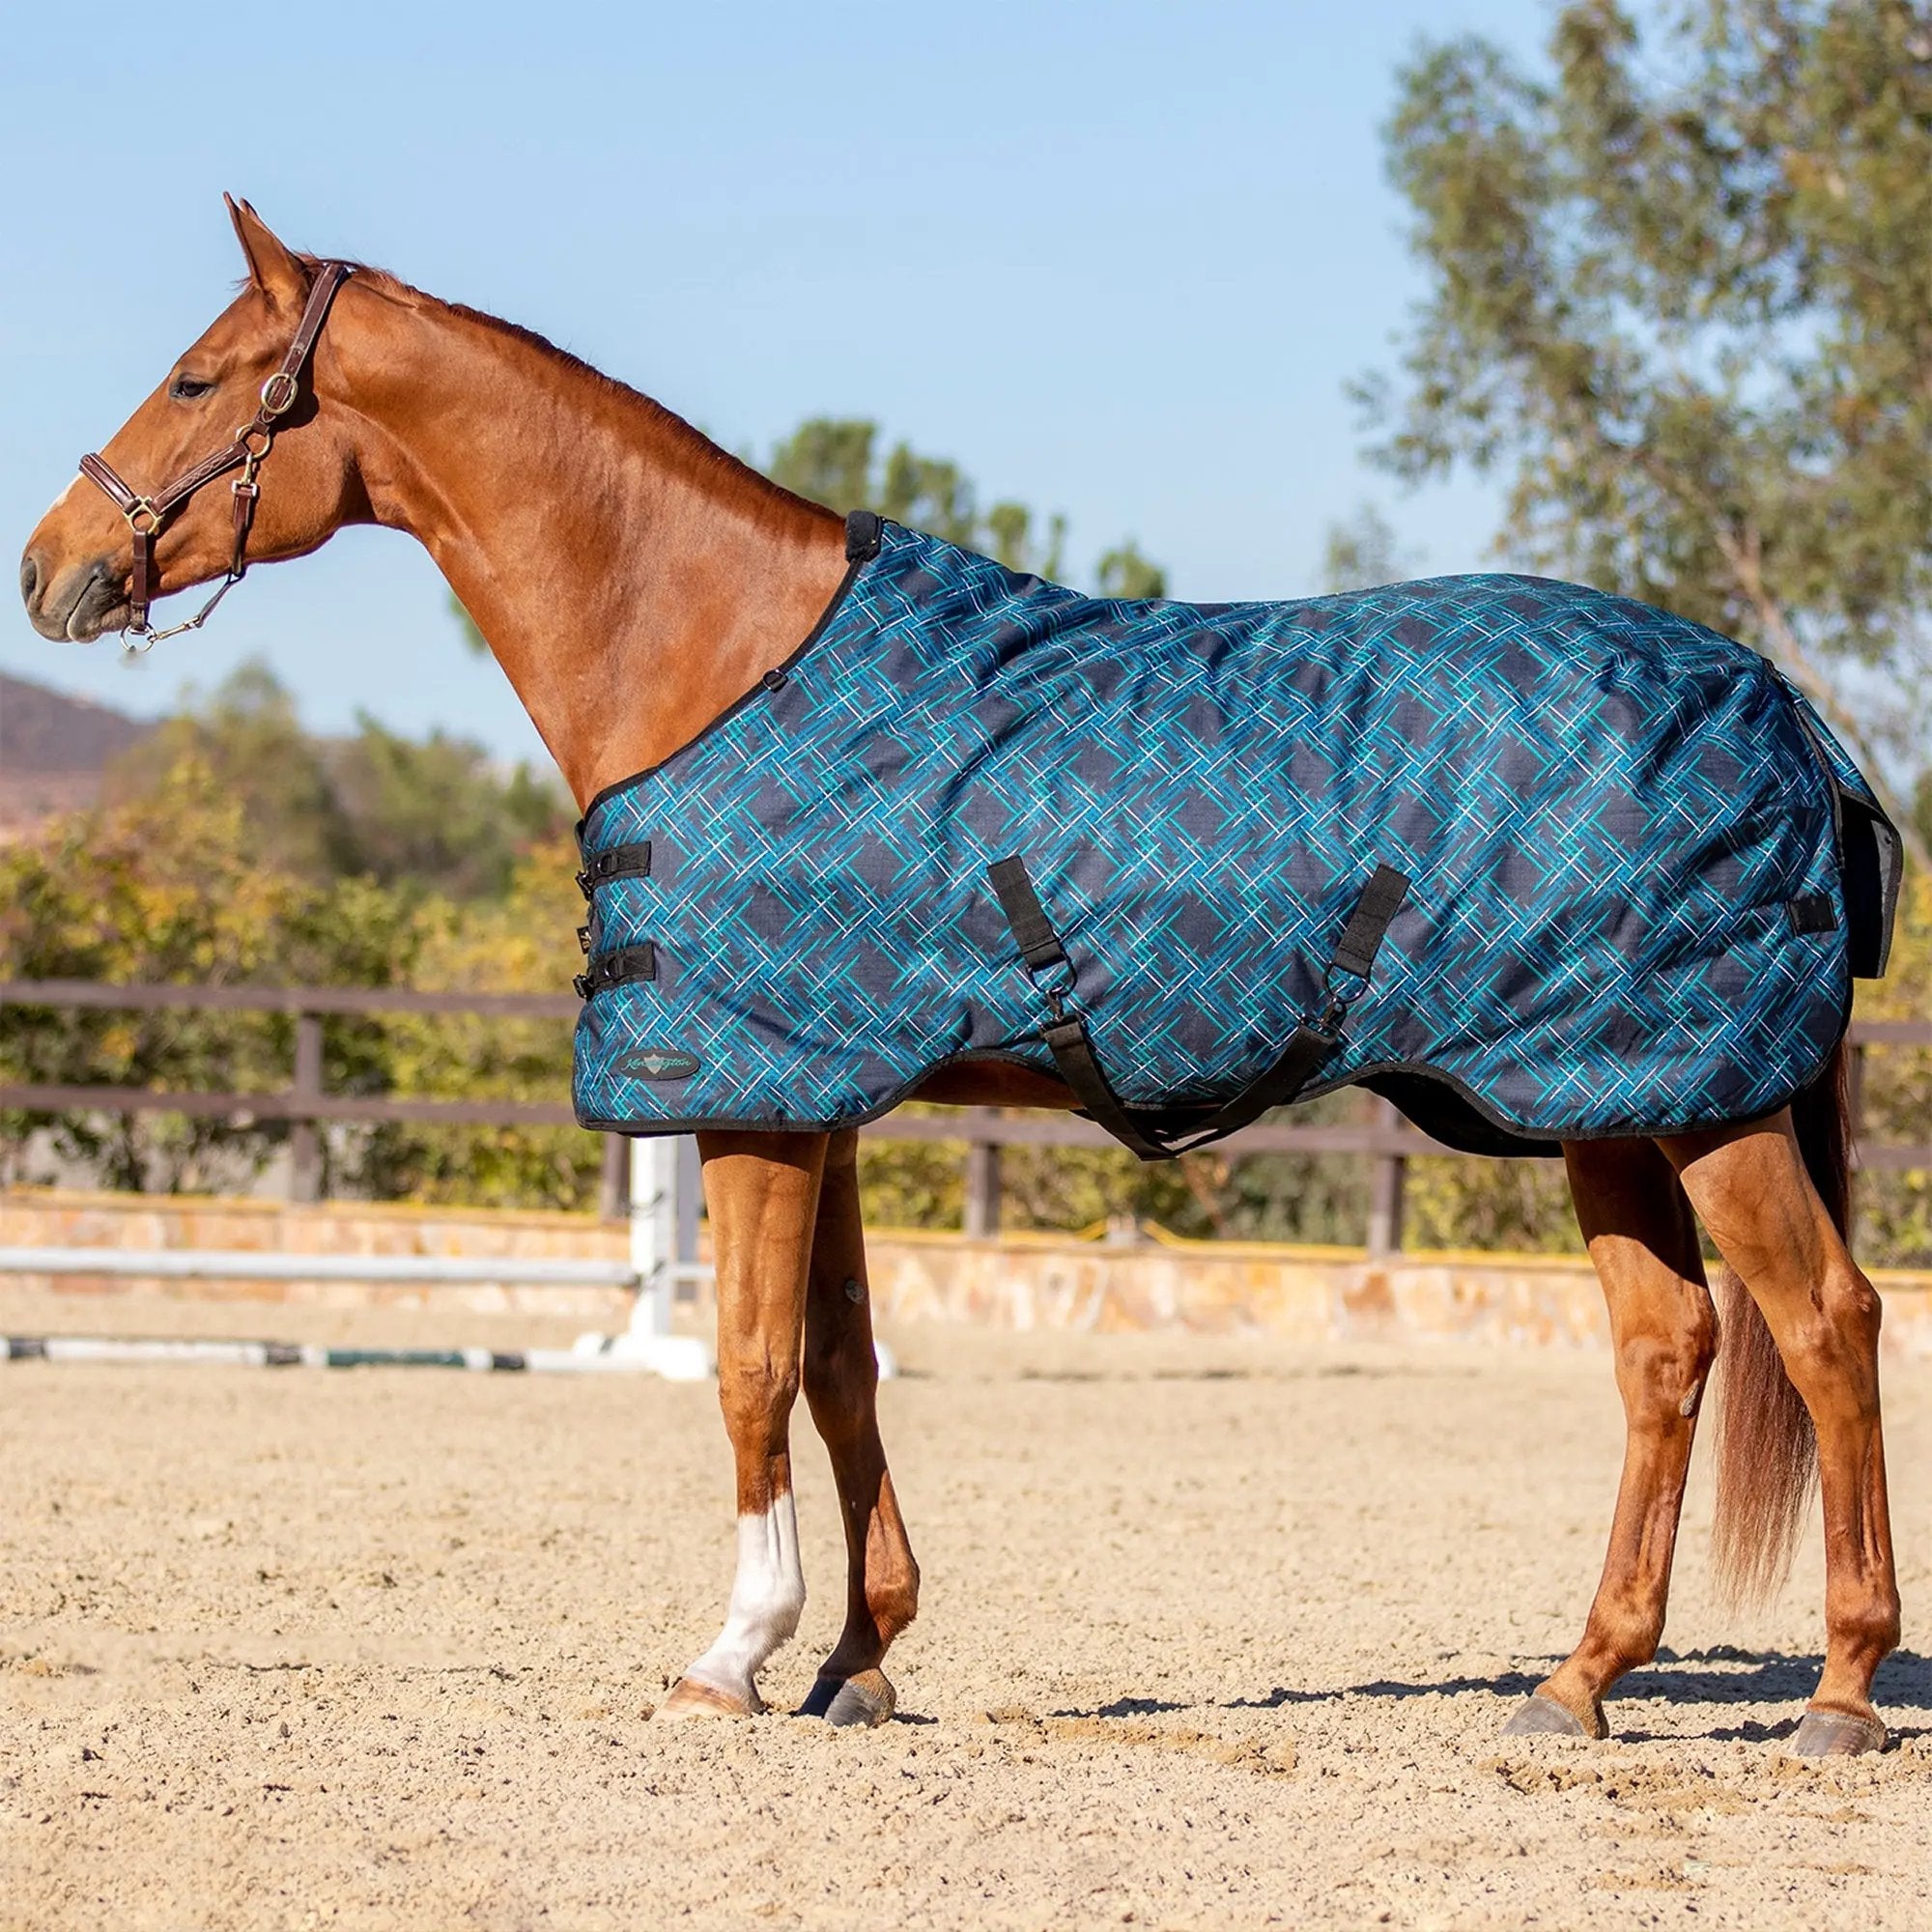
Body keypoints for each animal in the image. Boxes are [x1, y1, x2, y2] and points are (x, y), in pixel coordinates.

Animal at [20, 199, 1900, 1754]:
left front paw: (736, 1654)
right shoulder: (821, 1096)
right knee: (1669, 1349)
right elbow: (844, 1363)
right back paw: (1579, 1681)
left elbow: (748, 1365)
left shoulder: (755, 1103)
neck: (710, 651)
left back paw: (1842, 1690)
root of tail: (1780, 700)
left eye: (199, 378)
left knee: (1825, 1324)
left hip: (1694, 1101)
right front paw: (860, 1658)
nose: (50, 568)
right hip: (1606, 1101)